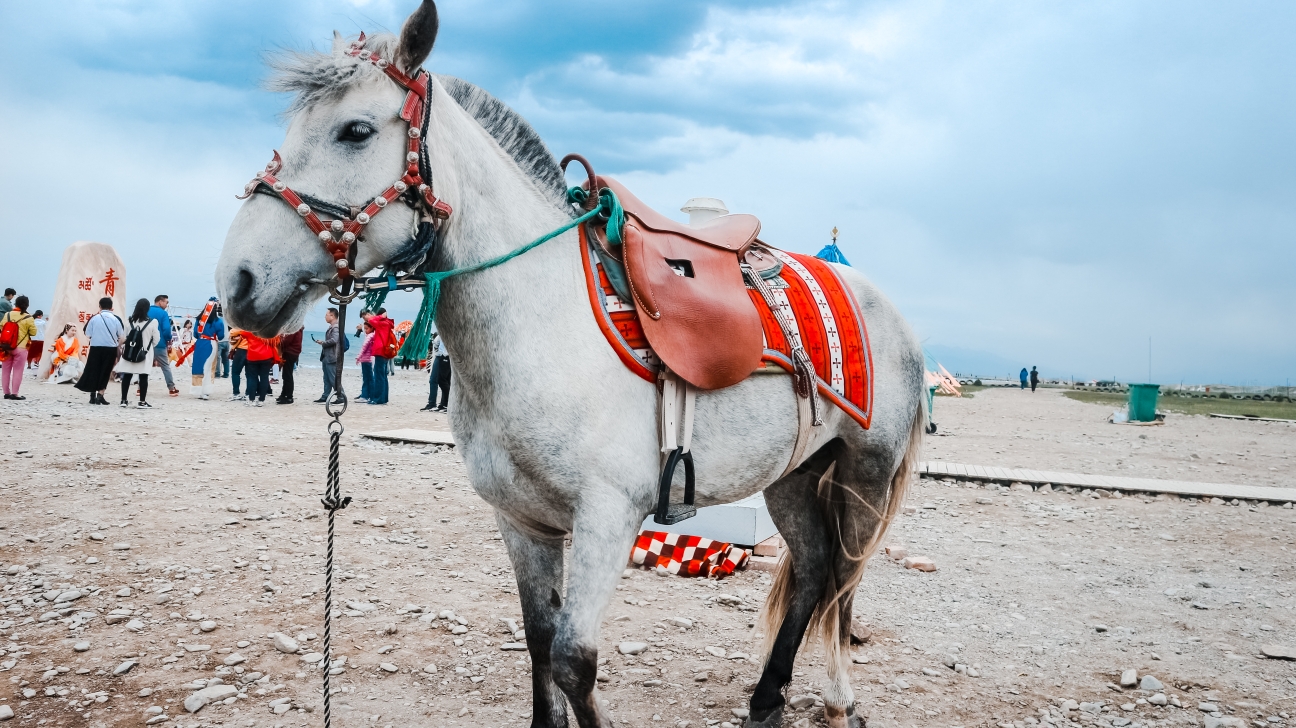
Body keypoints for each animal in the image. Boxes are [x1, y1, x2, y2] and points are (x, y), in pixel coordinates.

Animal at [215, 2, 922, 720]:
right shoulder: (522, 520)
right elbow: (537, 641)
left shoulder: (609, 518)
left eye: (355, 130)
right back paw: (767, 699)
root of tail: (884, 306)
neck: (543, 324)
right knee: (811, 572)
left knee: (843, 579)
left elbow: (573, 661)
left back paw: (838, 697)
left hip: (865, 470)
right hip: (794, 476)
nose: (238, 281)